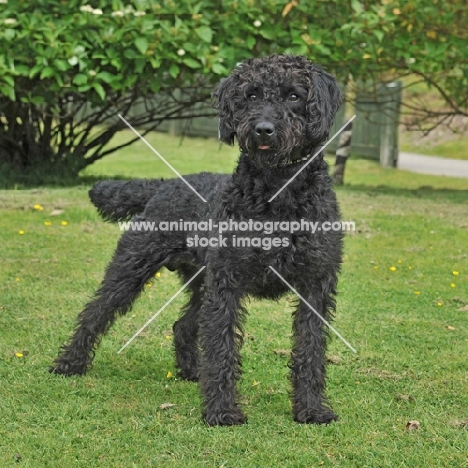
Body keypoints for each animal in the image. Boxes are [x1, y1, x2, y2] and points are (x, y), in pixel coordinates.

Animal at [51, 54, 344, 428]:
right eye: (251, 95)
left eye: (294, 95)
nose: (264, 128)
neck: (277, 191)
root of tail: (163, 184)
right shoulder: (226, 284)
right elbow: (222, 347)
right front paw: (221, 411)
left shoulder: (315, 285)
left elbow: (311, 349)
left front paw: (311, 409)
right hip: (131, 269)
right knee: (95, 312)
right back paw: (69, 363)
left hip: (199, 282)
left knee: (182, 326)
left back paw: (192, 370)